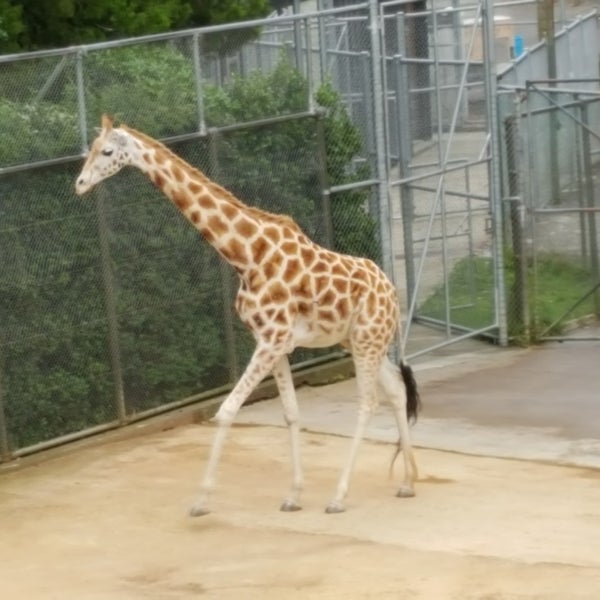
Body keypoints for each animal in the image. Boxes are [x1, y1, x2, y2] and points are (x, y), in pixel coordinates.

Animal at [76, 115, 422, 512]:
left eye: (107, 151)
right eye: (90, 149)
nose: (80, 184)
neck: (247, 256)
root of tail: (392, 292)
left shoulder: (271, 340)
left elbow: (226, 410)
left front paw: (201, 500)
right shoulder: (274, 342)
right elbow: (290, 414)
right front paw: (293, 495)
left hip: (367, 341)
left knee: (368, 402)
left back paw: (339, 496)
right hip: (361, 341)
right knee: (396, 390)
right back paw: (408, 482)